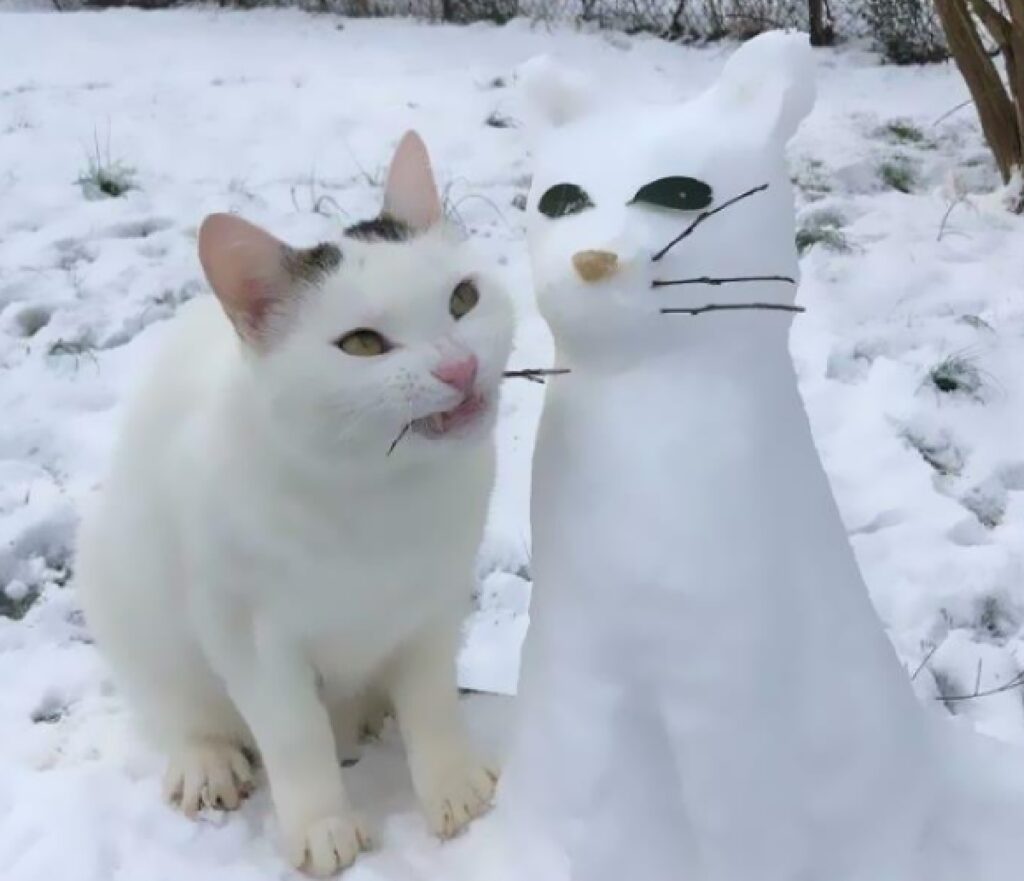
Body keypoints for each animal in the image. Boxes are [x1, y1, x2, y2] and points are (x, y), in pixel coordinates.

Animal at [74, 134, 512, 876]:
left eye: (463, 298)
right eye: (362, 343)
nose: (459, 368)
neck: (382, 496)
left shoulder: (435, 605)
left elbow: (431, 700)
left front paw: (452, 785)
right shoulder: (249, 635)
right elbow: (293, 733)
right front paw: (322, 824)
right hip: (115, 577)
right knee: (176, 706)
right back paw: (207, 759)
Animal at [501, 32, 942, 881]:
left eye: (678, 194)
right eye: (561, 201)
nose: (593, 259)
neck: (644, 388)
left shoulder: (728, 674)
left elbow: (741, 818)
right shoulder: (576, 653)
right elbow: (577, 782)